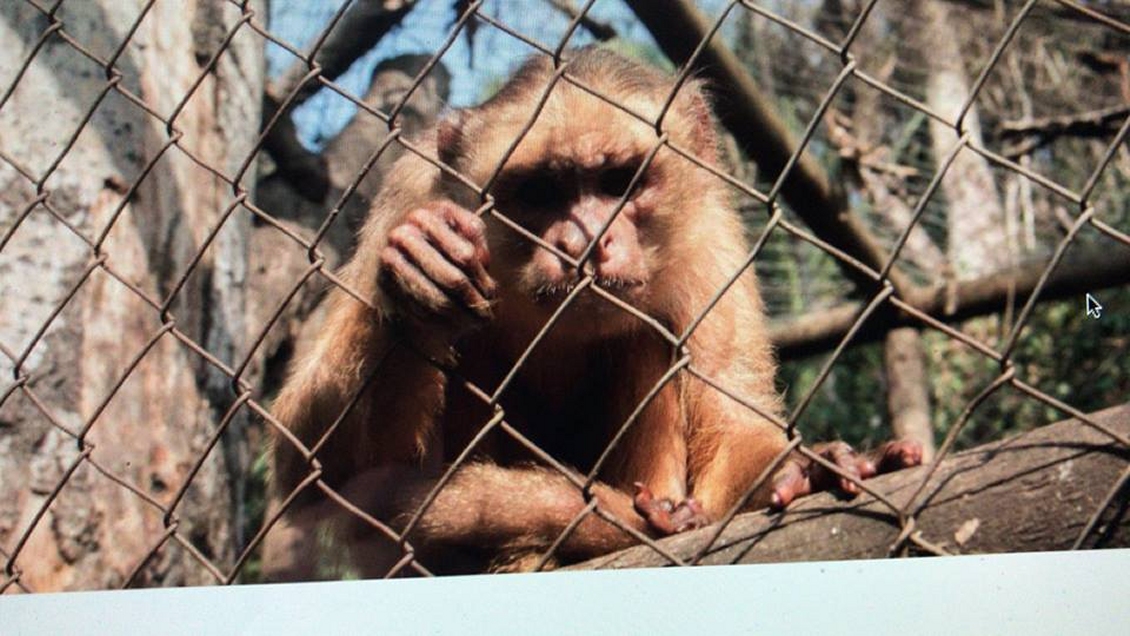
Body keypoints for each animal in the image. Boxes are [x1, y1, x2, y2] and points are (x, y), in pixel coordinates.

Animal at [262, 47, 922, 580]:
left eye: (618, 181)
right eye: (541, 191)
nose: (585, 240)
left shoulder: (713, 230)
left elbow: (732, 424)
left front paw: (802, 471)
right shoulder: (413, 187)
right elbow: (316, 473)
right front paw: (416, 276)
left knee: (647, 340)